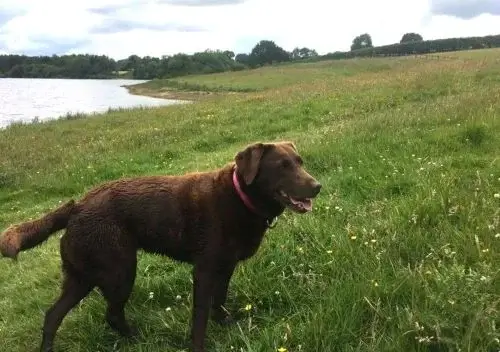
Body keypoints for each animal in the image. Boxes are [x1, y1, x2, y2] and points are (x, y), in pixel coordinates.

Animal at [0, 142, 320, 352]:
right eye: (281, 167)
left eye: (300, 161)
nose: (318, 186)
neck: (239, 197)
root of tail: (76, 207)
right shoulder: (204, 271)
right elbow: (200, 317)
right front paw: (198, 346)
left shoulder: (225, 267)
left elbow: (219, 300)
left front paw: (225, 323)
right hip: (120, 271)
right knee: (111, 314)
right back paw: (136, 339)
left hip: (82, 276)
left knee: (54, 315)